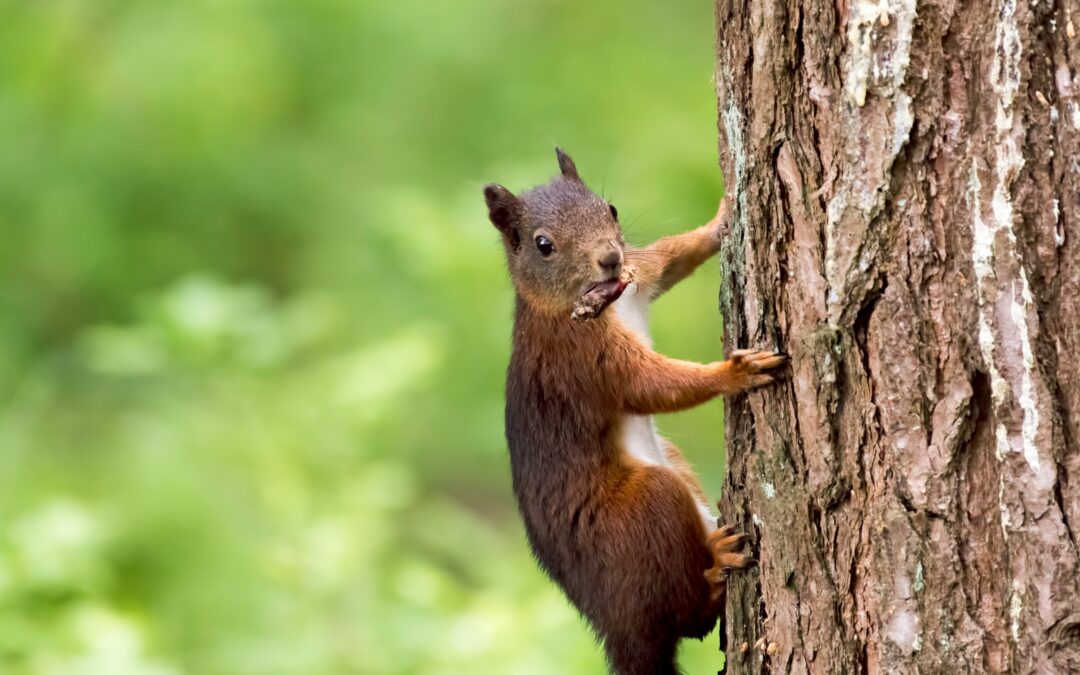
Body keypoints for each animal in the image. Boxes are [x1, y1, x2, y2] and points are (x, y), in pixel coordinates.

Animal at [483, 148, 785, 675]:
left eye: (611, 209)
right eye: (543, 245)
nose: (609, 258)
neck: (601, 300)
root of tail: (619, 630)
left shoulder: (640, 274)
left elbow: (673, 256)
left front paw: (721, 219)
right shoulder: (585, 358)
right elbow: (651, 386)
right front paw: (734, 373)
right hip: (647, 504)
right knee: (688, 618)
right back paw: (717, 568)